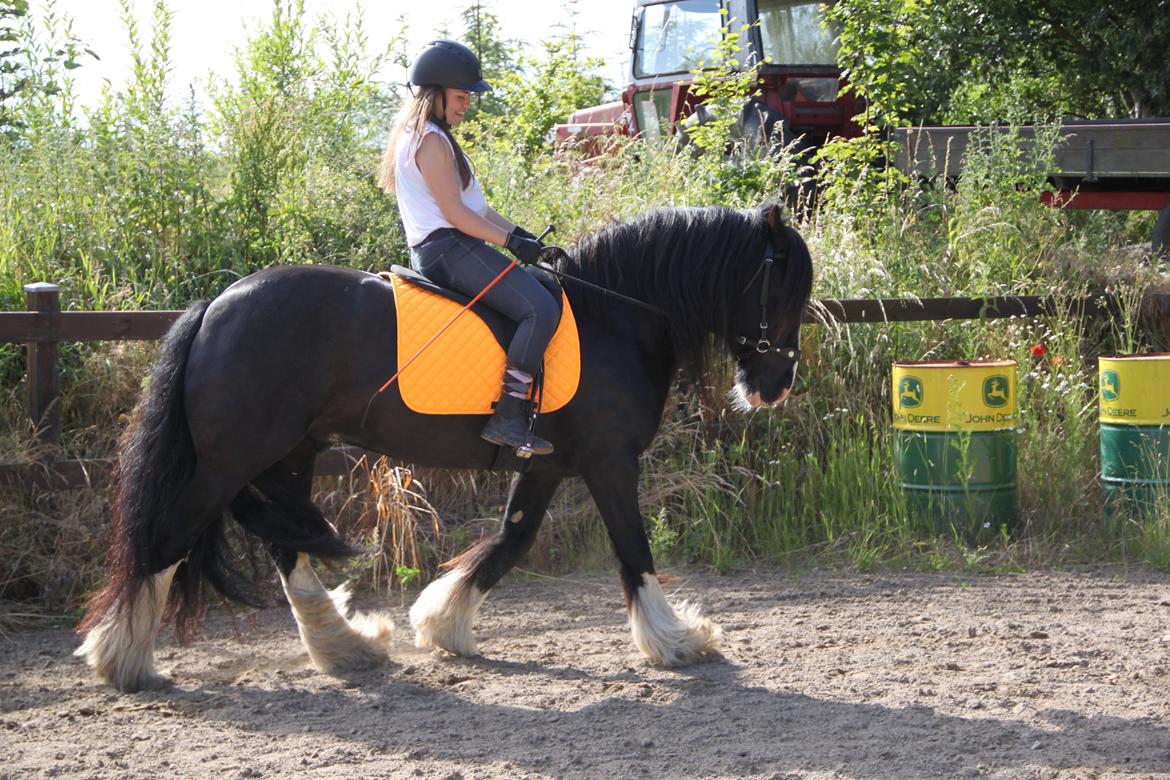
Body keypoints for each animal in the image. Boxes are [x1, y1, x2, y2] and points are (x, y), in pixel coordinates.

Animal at [70, 199, 804, 687]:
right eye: (787, 290)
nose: (775, 387)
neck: (615, 314)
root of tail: (216, 306)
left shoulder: (547, 466)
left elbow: (510, 541)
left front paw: (443, 623)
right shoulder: (609, 462)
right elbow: (633, 551)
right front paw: (677, 640)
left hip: (290, 456)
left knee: (287, 548)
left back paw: (346, 649)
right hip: (229, 462)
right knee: (168, 537)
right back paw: (123, 659)